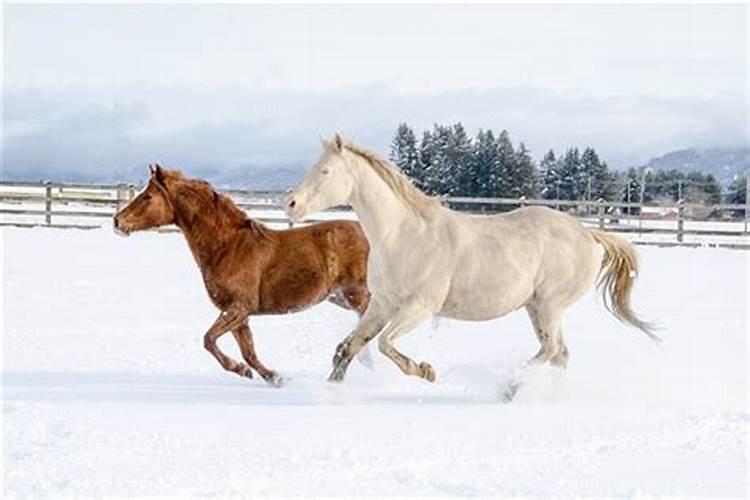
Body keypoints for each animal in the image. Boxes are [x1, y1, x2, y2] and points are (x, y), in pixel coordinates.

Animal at [113, 164, 368, 386]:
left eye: (147, 197)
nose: (117, 222)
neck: (228, 246)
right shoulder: (239, 314)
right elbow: (248, 352)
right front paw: (273, 377)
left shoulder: (239, 307)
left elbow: (209, 340)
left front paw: (242, 370)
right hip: (340, 297)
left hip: (357, 295)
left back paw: (340, 362)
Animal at [288, 133, 656, 382]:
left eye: (325, 171)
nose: (291, 204)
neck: (403, 235)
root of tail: (588, 234)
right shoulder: (382, 303)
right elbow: (352, 346)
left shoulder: (421, 306)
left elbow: (384, 344)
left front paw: (425, 370)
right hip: (537, 308)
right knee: (559, 353)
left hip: (550, 305)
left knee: (551, 350)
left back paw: (510, 386)